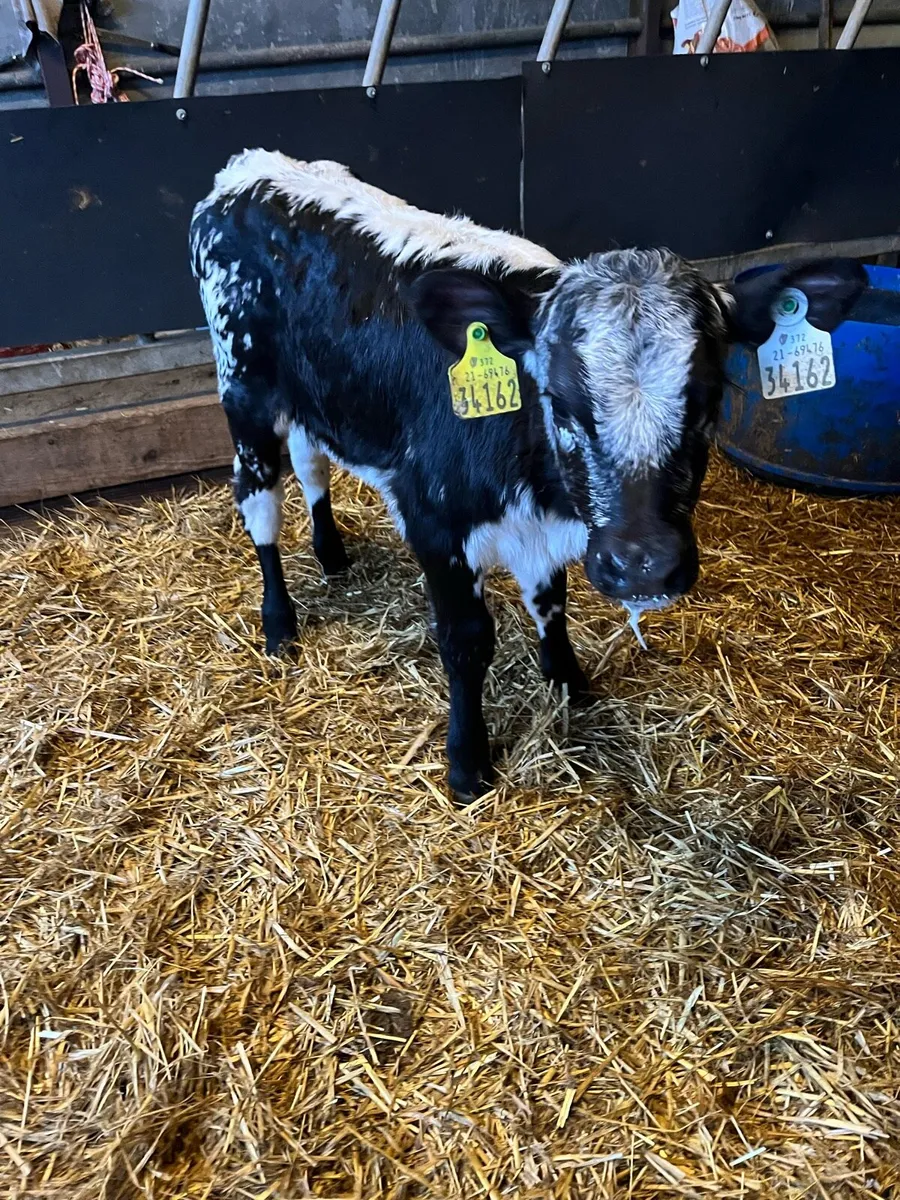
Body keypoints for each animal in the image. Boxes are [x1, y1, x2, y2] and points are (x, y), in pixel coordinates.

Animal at [190, 149, 867, 801]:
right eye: (561, 403)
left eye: (709, 402)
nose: (642, 568)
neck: (540, 486)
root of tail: (247, 169)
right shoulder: (434, 520)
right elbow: (465, 641)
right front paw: (467, 763)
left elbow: (551, 602)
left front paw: (568, 680)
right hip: (243, 389)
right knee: (258, 501)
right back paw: (279, 622)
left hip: (316, 399)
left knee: (311, 463)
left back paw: (331, 554)